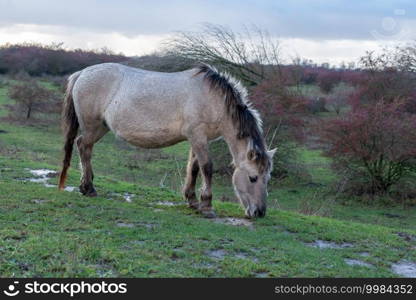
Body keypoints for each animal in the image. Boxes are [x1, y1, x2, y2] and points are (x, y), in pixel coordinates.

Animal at [57, 62, 274, 218]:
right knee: (84, 147)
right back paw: (89, 188)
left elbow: (193, 168)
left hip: (100, 127)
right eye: (253, 177)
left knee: (83, 146)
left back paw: (86, 187)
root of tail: (82, 73)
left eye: (267, 178)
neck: (212, 99)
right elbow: (206, 167)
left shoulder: (197, 139)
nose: (259, 212)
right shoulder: (198, 136)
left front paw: (192, 201)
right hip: (93, 126)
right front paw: (207, 206)